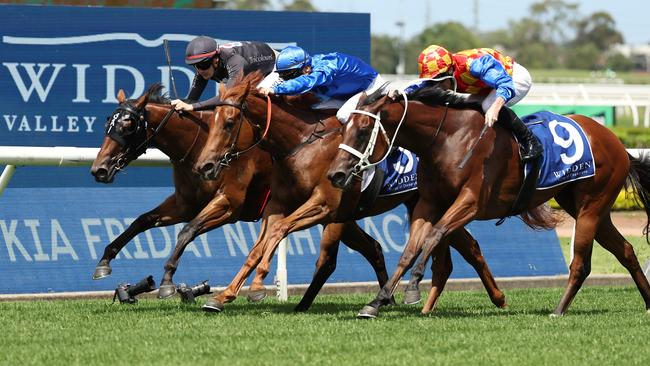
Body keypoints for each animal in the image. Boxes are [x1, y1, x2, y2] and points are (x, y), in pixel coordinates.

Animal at [88, 83, 400, 308]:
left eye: (128, 125)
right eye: (107, 123)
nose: (98, 169)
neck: (199, 145)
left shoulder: (229, 205)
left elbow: (188, 230)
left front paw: (166, 280)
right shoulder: (184, 203)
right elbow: (142, 220)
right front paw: (104, 262)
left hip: (333, 215)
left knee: (336, 258)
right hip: (341, 217)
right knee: (372, 248)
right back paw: (386, 299)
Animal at [192, 73, 506, 314]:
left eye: (229, 122)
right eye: (211, 119)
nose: (203, 166)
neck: (301, 144)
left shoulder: (326, 206)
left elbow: (282, 233)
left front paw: (257, 287)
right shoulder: (279, 205)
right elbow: (258, 246)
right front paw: (223, 296)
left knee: (467, 247)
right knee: (449, 248)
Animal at [326, 83, 648, 318]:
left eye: (363, 131)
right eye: (343, 129)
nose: (336, 174)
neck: (448, 139)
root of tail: (615, 140)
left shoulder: (471, 202)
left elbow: (434, 235)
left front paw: (413, 288)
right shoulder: (428, 203)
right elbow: (410, 250)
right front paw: (376, 302)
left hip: (591, 206)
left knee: (581, 263)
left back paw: (558, 310)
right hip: (585, 206)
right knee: (626, 251)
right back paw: (646, 302)